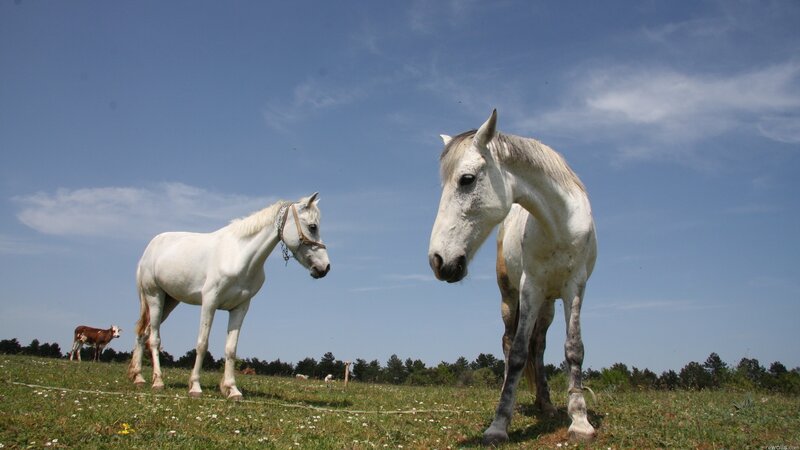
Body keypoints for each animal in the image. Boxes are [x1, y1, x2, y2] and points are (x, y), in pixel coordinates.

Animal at [128, 193, 330, 400]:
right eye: (312, 226)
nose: (325, 267)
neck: (239, 255)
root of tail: (150, 248)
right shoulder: (209, 303)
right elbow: (202, 344)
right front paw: (195, 386)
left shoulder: (239, 308)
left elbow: (231, 349)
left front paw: (232, 389)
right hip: (155, 297)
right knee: (154, 338)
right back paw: (157, 381)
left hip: (170, 301)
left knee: (143, 333)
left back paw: (138, 377)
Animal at [428, 110, 597, 444]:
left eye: (466, 179)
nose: (438, 260)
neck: (558, 225)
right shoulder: (529, 286)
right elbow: (518, 353)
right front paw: (498, 424)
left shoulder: (575, 287)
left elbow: (573, 348)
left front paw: (580, 420)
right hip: (510, 297)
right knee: (509, 344)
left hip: (548, 303)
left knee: (539, 346)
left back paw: (546, 404)